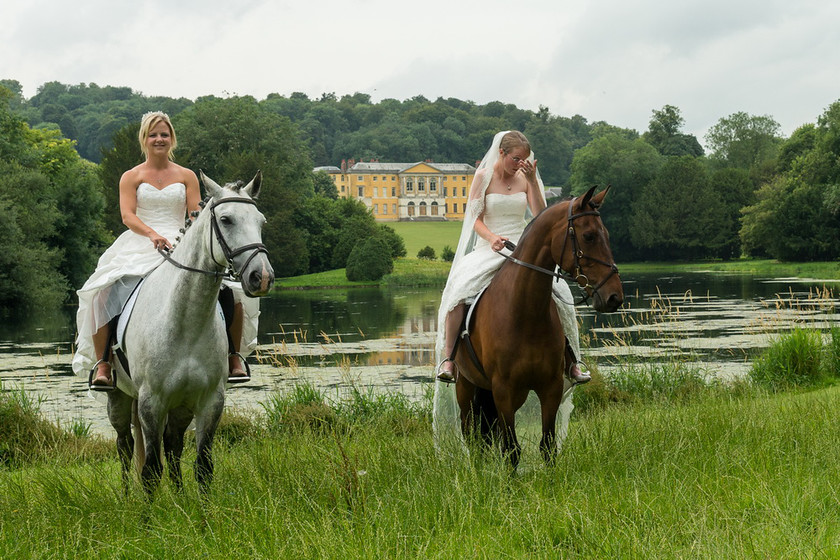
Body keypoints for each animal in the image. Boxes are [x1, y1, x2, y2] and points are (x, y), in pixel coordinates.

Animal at [452, 186, 624, 466]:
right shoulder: (504, 391)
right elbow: (511, 449)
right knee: (471, 438)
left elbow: (548, 445)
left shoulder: (550, 387)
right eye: (588, 236)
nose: (614, 297)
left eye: (606, 235)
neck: (525, 311)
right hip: (465, 387)